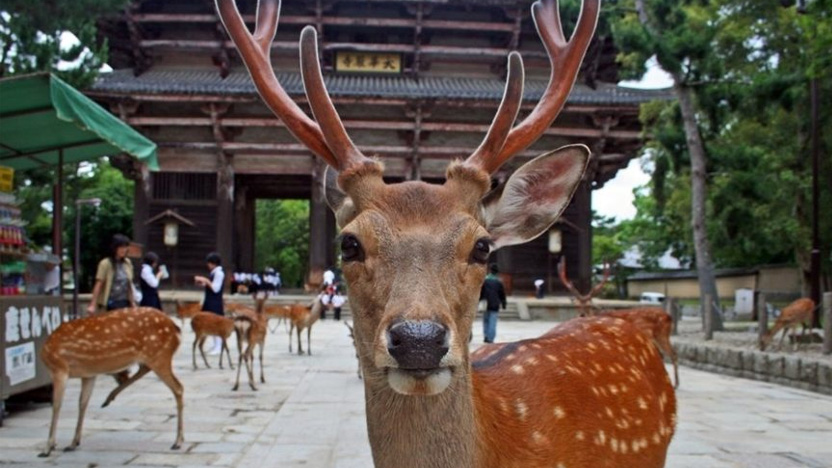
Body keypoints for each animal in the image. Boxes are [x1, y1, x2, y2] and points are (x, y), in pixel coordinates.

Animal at [39, 308, 184, 458]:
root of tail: (176, 329)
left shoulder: (59, 368)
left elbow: (57, 405)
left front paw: (47, 448)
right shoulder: (88, 374)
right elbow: (83, 403)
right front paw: (73, 443)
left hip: (159, 355)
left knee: (178, 387)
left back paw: (177, 441)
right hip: (154, 357)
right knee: (145, 370)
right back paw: (109, 398)